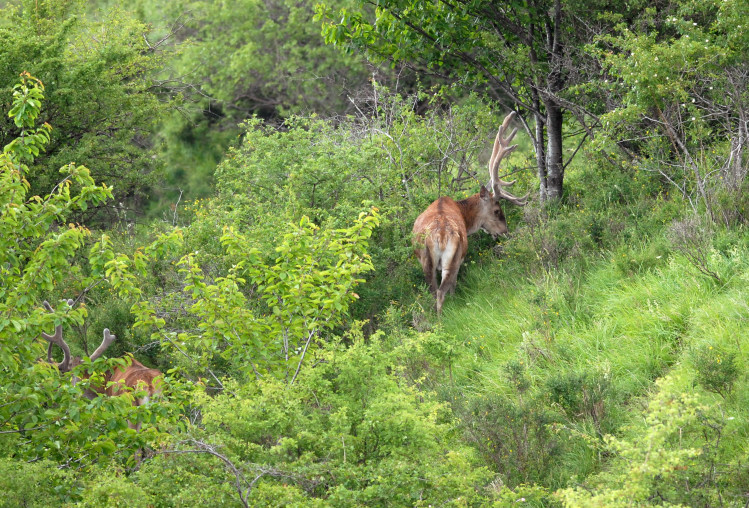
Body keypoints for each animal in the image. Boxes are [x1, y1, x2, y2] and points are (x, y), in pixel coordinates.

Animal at [412, 112, 528, 314]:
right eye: (497, 210)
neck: (465, 219)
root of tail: (441, 234)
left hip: (428, 259)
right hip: (453, 257)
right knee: (442, 290)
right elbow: (452, 287)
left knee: (434, 291)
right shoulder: (460, 257)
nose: (504, 231)